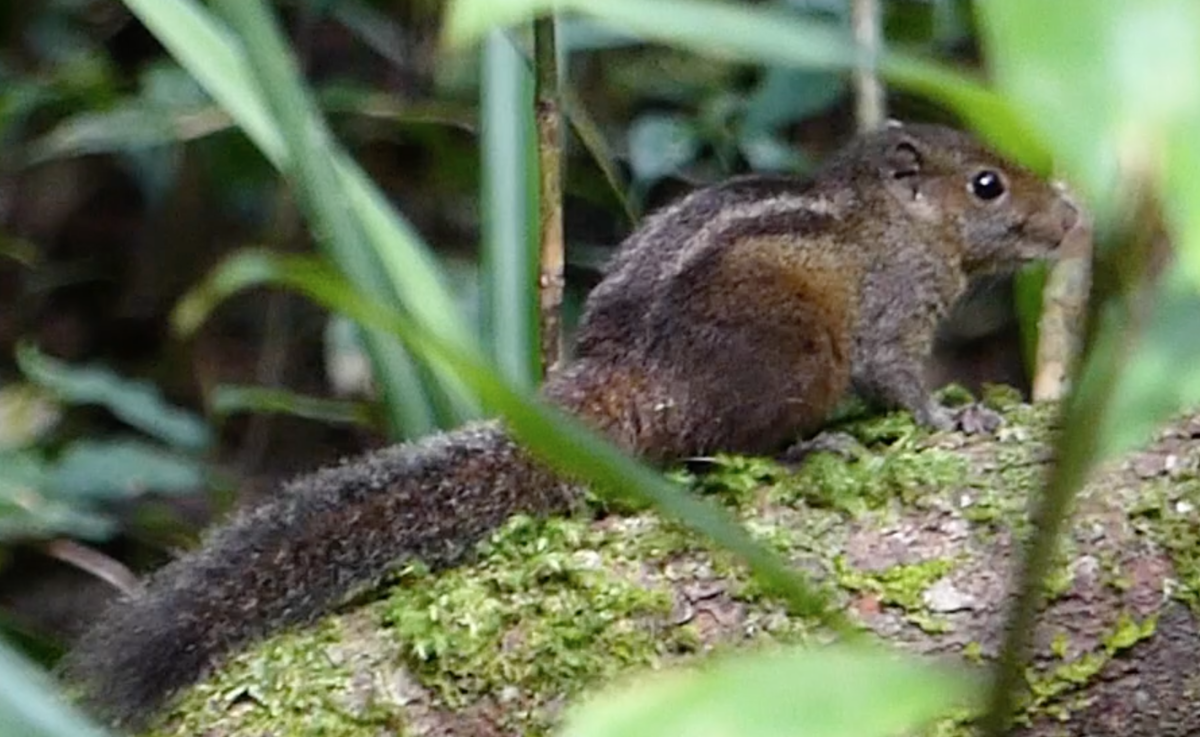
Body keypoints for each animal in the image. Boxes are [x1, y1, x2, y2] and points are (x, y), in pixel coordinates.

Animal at [63, 121, 1080, 729]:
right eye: (988, 184)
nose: (1070, 215)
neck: (889, 221)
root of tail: (632, 382)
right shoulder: (892, 315)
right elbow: (900, 377)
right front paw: (951, 415)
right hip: (790, 360)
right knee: (721, 443)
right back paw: (806, 447)